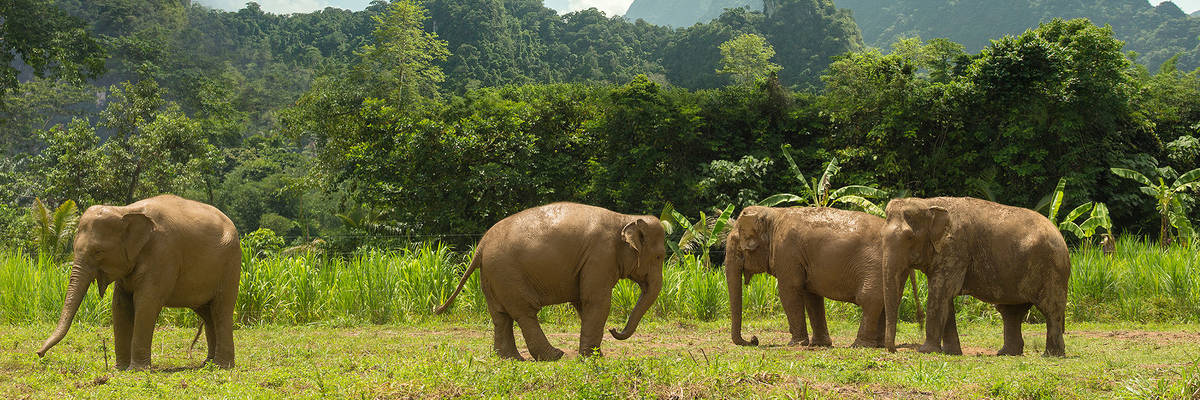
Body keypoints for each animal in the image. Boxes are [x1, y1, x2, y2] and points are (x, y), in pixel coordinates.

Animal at [37, 195, 242, 370]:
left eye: (98, 252)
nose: (39, 353)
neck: (125, 210)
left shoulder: (163, 253)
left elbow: (146, 302)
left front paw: (136, 369)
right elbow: (120, 304)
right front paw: (120, 368)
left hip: (230, 265)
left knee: (221, 310)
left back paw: (221, 366)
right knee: (207, 313)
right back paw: (207, 363)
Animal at [434, 202, 666, 361]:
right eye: (659, 257)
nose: (614, 330)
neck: (625, 218)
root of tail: (481, 245)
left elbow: (583, 303)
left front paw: (592, 355)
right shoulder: (600, 257)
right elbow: (596, 301)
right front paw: (592, 358)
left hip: (492, 276)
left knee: (501, 316)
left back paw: (512, 359)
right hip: (507, 273)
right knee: (524, 313)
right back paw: (554, 356)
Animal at [724, 206, 888, 348]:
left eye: (739, 251)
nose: (754, 339)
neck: (773, 213)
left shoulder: (787, 251)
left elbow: (788, 291)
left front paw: (795, 344)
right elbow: (812, 296)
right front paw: (820, 344)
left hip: (874, 266)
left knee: (869, 298)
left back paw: (860, 345)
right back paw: (878, 345)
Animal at [881, 197, 1070, 357]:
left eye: (909, 237)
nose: (894, 350)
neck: (928, 203)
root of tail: (1060, 235)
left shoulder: (956, 250)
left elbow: (940, 293)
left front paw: (926, 351)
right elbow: (945, 299)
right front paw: (952, 353)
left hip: (1051, 269)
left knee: (1050, 310)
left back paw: (1051, 355)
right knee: (1011, 312)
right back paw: (1006, 353)